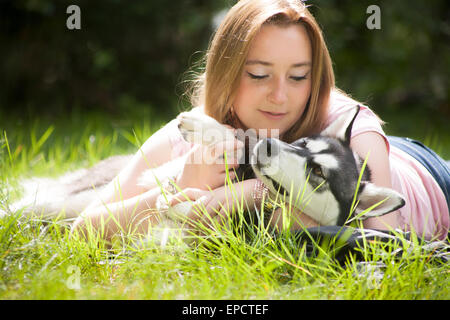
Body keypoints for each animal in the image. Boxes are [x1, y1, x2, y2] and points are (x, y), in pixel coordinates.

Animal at [1, 106, 406, 239]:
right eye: (304, 143)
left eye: (318, 174)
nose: (269, 146)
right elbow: (240, 142)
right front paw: (208, 127)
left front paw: (185, 208)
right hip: (75, 196)